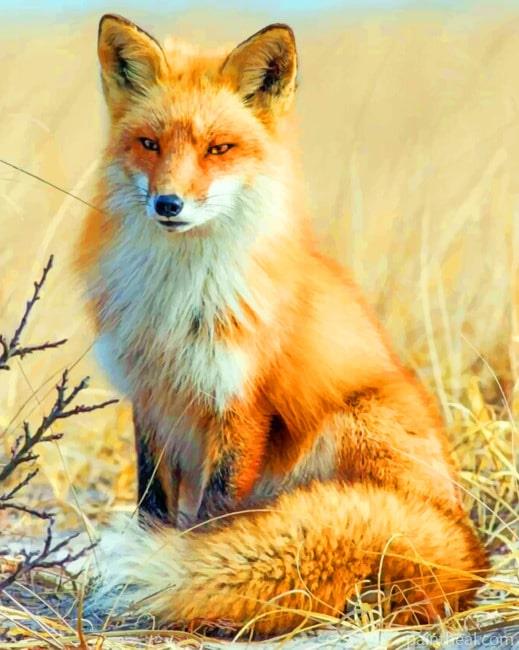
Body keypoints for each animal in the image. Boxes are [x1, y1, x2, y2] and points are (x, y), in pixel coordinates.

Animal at [79, 13, 488, 635]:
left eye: (218, 148)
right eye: (149, 144)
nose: (168, 204)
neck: (178, 299)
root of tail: (468, 550)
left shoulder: (240, 400)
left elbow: (214, 516)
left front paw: (190, 575)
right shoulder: (150, 396)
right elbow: (152, 503)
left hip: (349, 423)